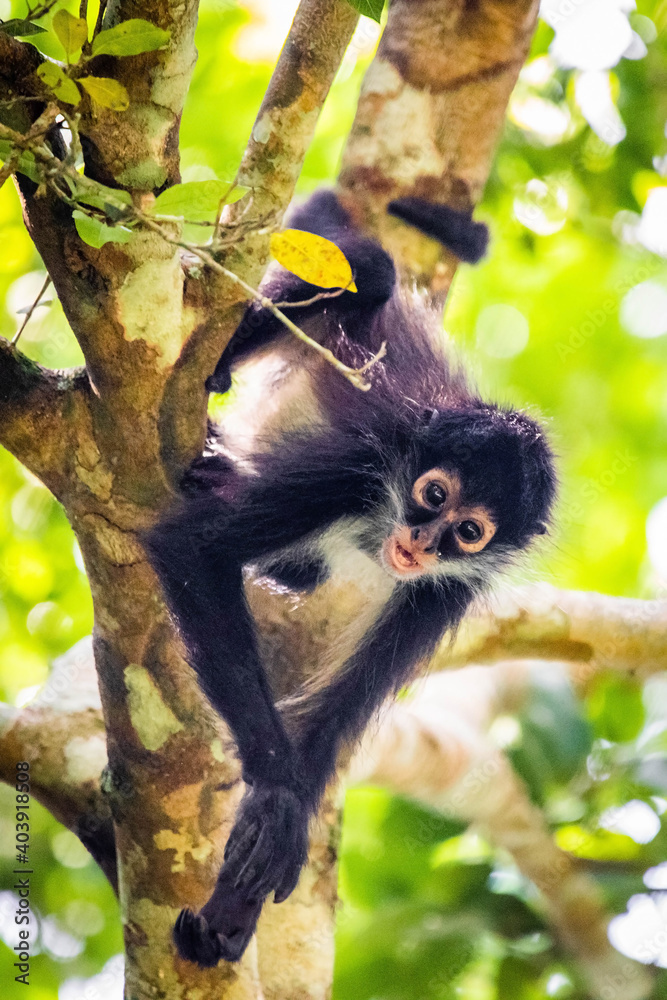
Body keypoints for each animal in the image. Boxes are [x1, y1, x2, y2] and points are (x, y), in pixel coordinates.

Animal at [145, 191, 556, 967]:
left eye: (467, 532)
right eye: (433, 494)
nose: (421, 543)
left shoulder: (449, 589)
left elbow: (332, 720)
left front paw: (236, 907)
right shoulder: (351, 471)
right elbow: (190, 550)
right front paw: (276, 795)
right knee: (371, 268)